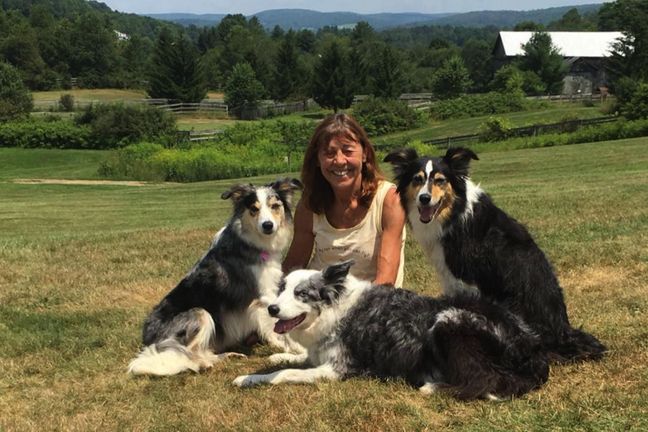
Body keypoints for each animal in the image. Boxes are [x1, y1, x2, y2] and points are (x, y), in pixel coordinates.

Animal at [128, 178, 304, 376]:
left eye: (275, 206)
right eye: (254, 208)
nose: (268, 225)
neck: (250, 241)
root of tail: (147, 339)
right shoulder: (264, 295)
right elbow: (274, 326)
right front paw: (290, 348)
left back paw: (229, 356)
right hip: (200, 314)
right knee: (190, 354)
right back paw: (204, 363)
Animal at [233, 261, 549, 400]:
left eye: (301, 294)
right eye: (282, 289)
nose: (272, 309)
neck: (335, 308)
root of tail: (533, 348)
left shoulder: (338, 369)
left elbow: (286, 374)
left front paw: (258, 377)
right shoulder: (317, 355)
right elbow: (292, 360)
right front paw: (258, 369)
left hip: (448, 320)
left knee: (484, 379)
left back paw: (433, 387)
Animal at [384, 147, 606, 363]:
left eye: (440, 180)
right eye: (417, 179)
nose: (424, 198)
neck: (455, 212)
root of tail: (562, 333)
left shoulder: (464, 278)